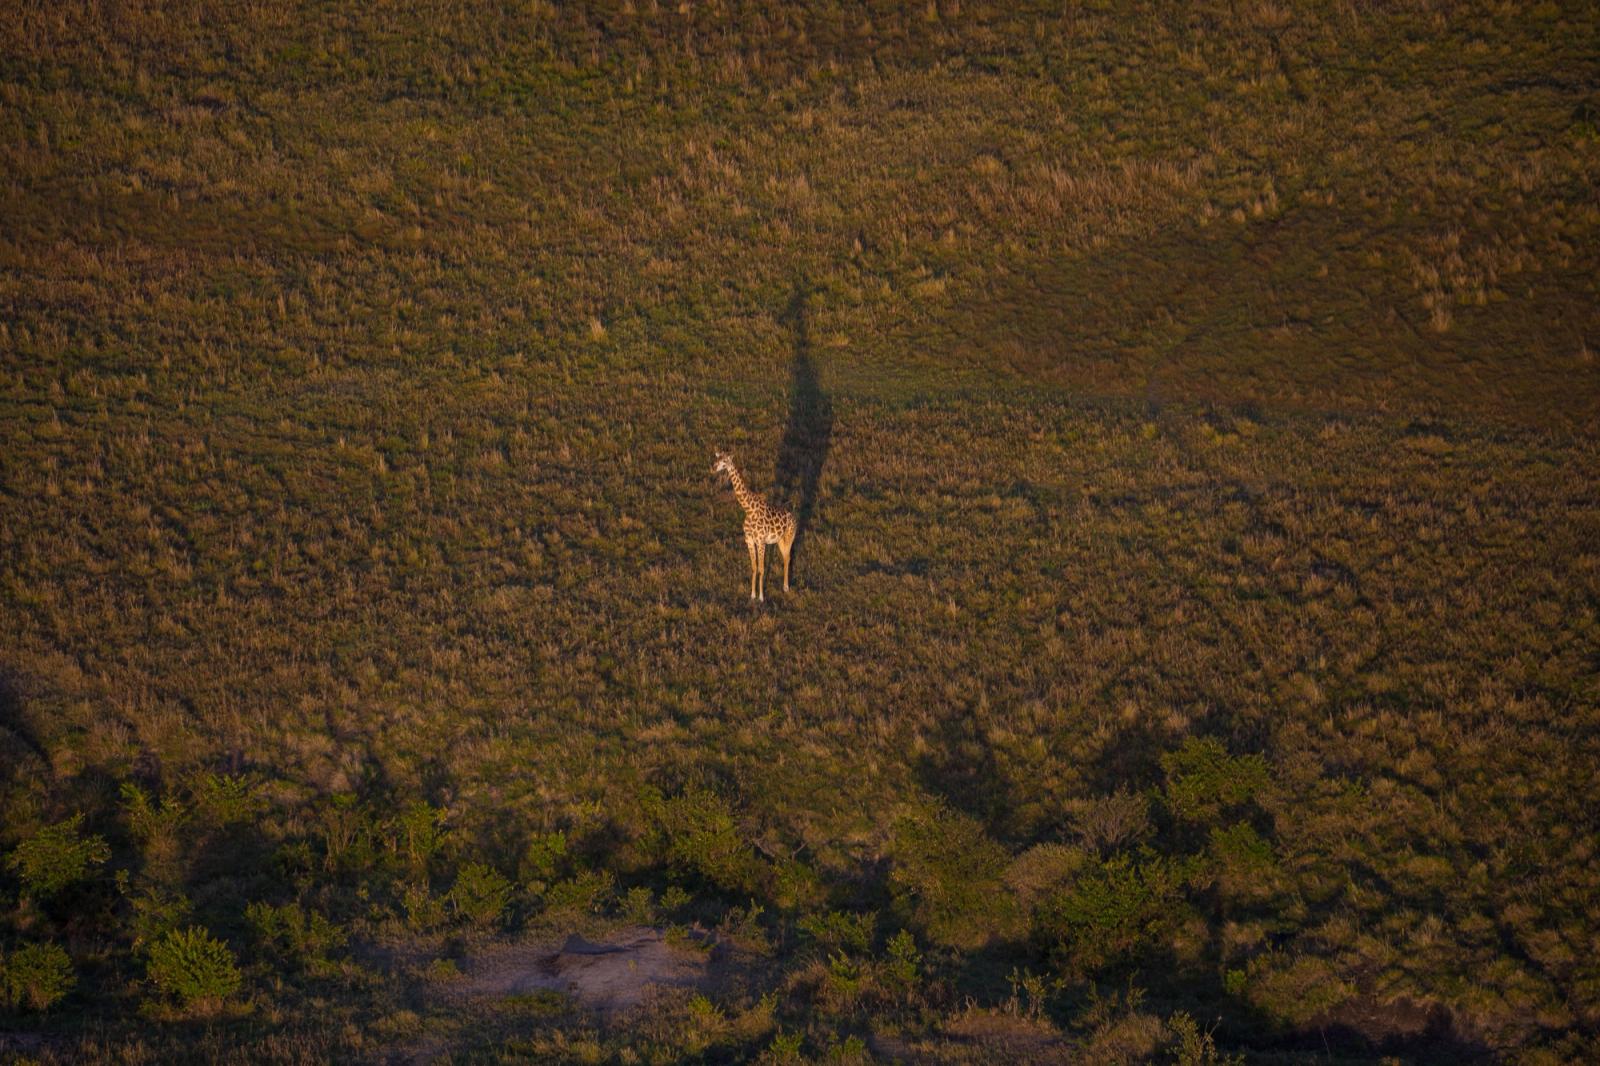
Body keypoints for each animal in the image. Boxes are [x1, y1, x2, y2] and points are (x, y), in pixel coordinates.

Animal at [712, 450, 797, 601]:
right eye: (717, 459)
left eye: (725, 461)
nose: (713, 468)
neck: (749, 510)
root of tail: (793, 517)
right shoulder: (750, 541)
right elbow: (754, 567)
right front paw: (752, 595)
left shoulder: (761, 541)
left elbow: (761, 568)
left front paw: (761, 597)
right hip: (779, 540)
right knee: (785, 557)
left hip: (789, 537)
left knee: (788, 558)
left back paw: (786, 587)